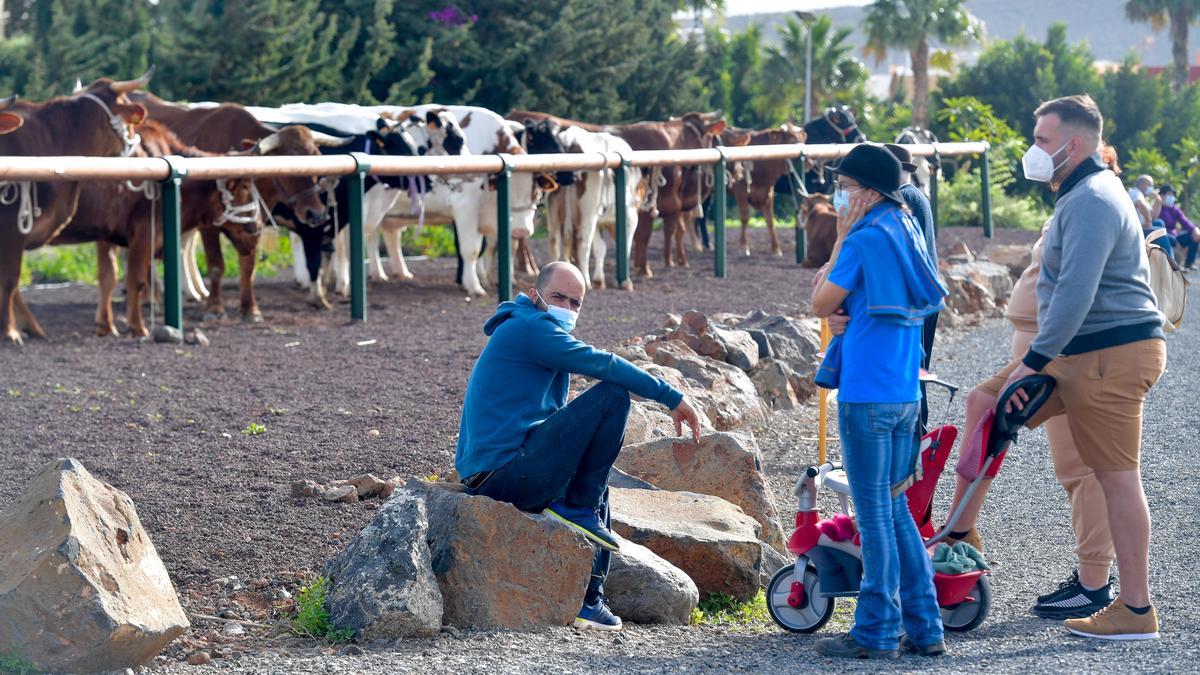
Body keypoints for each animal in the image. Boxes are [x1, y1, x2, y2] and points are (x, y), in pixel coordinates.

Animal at [0, 70, 154, 343]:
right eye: (130, 124)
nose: (143, 157)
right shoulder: (11, 226)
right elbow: (9, 279)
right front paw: (10, 331)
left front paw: (29, 327)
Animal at [50, 120, 261, 336]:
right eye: (245, 187)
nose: (257, 228)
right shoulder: (145, 233)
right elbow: (136, 280)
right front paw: (137, 326)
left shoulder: (106, 236)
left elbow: (108, 277)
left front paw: (106, 325)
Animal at [129, 91, 333, 319]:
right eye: (290, 161)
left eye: (317, 156)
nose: (316, 213)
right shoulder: (208, 226)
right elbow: (216, 265)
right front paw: (215, 307)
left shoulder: (255, 222)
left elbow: (248, 266)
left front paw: (250, 308)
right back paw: (152, 297)